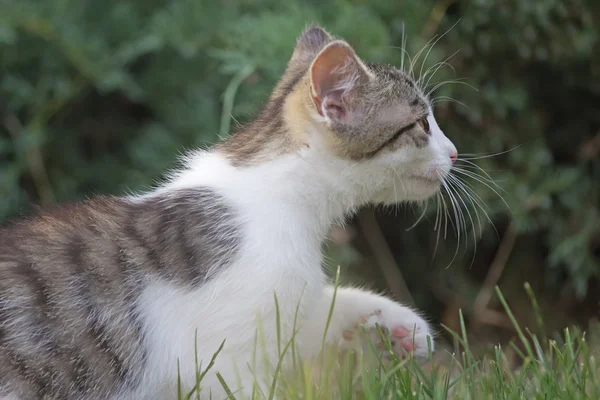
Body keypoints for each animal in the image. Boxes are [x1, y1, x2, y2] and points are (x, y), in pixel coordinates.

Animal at [0, 26, 458, 398]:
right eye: (422, 124)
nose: (453, 152)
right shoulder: (216, 358)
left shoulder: (278, 311)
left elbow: (315, 313)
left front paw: (400, 325)